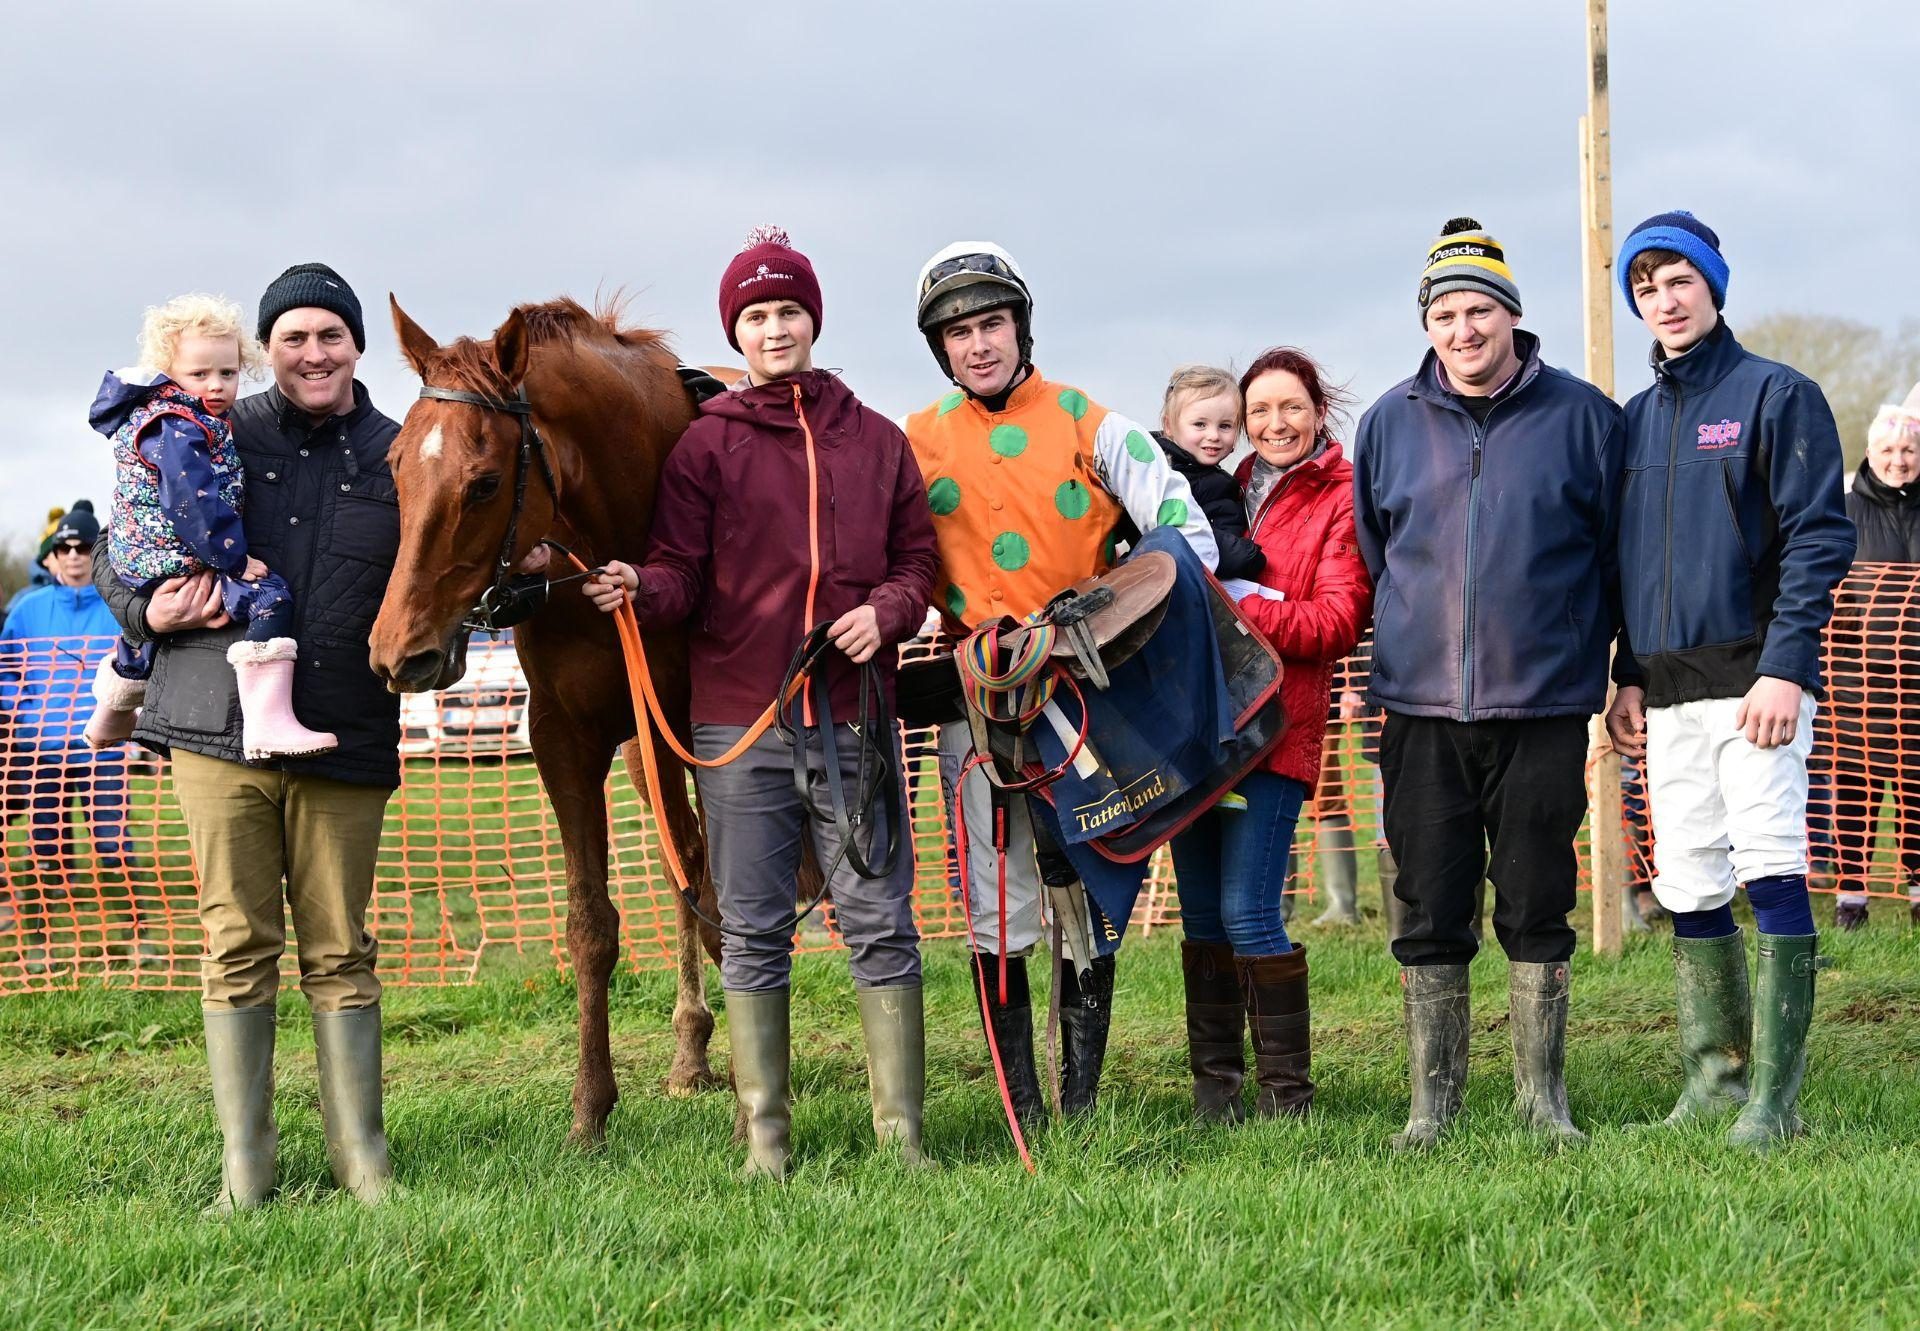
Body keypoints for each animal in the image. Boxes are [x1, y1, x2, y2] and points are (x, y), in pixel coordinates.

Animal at [374, 295, 725, 1144]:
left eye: (484, 481)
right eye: (396, 465)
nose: (400, 652)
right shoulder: (568, 741)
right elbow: (590, 925)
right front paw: (590, 1109)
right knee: (687, 860)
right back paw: (690, 1050)